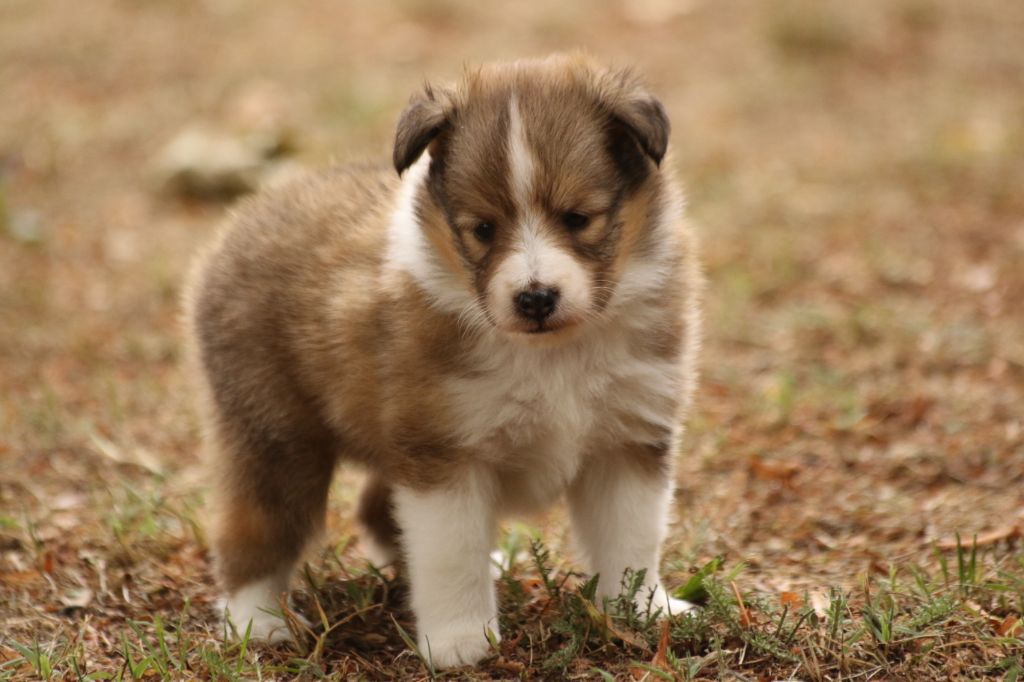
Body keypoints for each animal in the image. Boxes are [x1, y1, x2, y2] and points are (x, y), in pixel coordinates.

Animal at [184, 54, 700, 667]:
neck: (551, 353)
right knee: (255, 529)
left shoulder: (627, 440)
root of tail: (247, 215)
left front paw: (641, 612)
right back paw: (256, 621)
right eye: (483, 228)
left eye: (578, 218)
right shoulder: (443, 454)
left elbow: (631, 539)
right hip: (276, 437)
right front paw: (460, 641)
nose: (535, 298)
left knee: (375, 510)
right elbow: (452, 555)